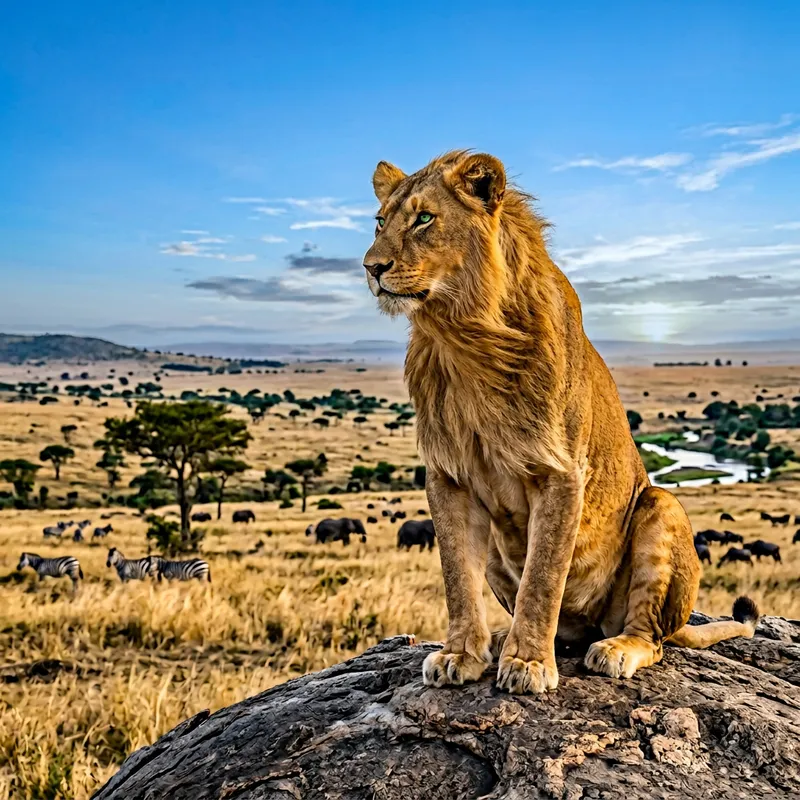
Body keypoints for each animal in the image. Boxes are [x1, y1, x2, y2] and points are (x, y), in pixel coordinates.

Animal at [363, 150, 759, 694]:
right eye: (380, 222)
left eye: (424, 218)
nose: (371, 267)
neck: (464, 334)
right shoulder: (447, 476)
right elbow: (456, 577)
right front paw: (461, 653)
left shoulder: (561, 471)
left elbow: (543, 576)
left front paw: (528, 663)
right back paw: (501, 638)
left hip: (660, 506)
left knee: (652, 637)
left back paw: (615, 649)